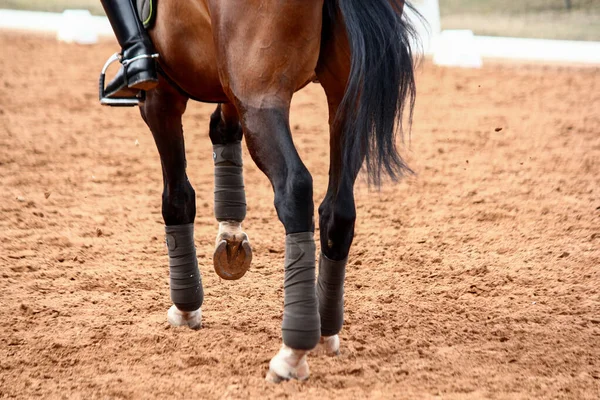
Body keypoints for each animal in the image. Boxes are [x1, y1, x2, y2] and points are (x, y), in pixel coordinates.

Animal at [102, 0, 418, 382]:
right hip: (346, 100)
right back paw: (324, 330)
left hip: (261, 97)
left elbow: (177, 198)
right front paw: (231, 237)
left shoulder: (161, 97)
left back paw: (292, 351)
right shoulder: (227, 83)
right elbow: (222, 128)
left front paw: (187, 307)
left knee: (295, 188)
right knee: (338, 211)